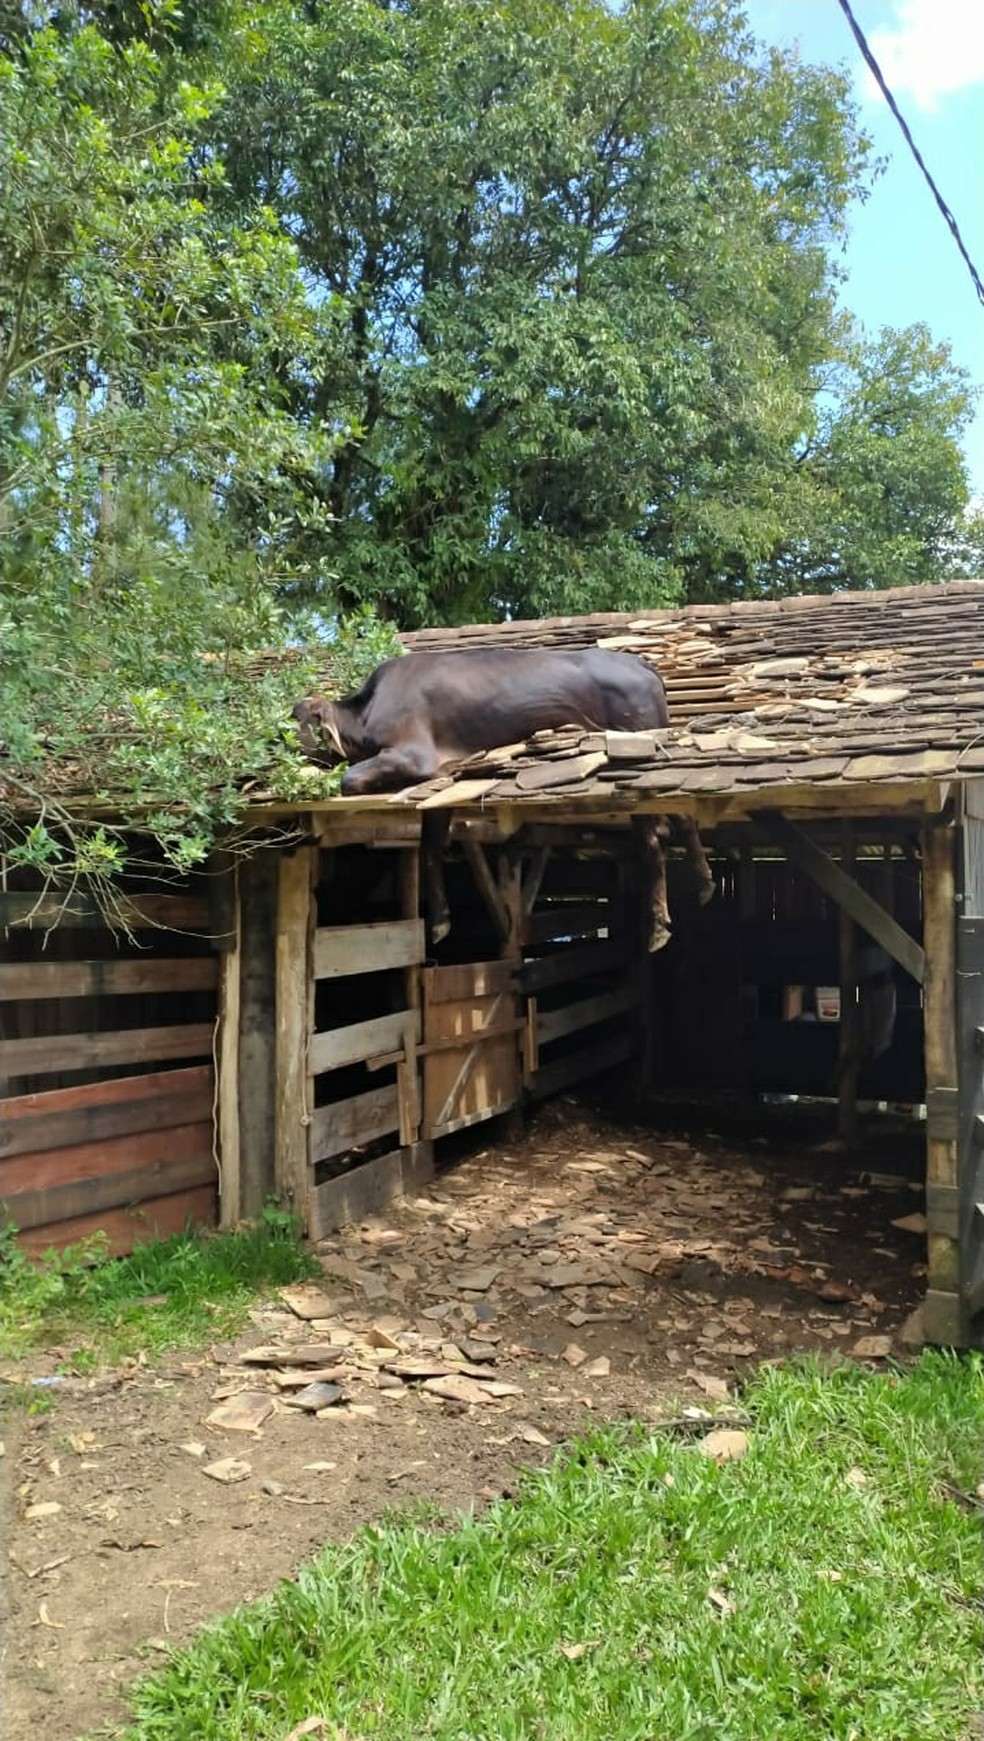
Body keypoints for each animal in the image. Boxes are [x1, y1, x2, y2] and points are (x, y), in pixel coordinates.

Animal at [293, 647, 713, 950]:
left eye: (296, 728)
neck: (366, 713)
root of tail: (638, 662)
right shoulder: (441, 777)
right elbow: (431, 847)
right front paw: (440, 921)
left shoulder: (415, 756)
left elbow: (349, 780)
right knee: (683, 818)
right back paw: (705, 883)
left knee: (652, 838)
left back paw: (658, 926)